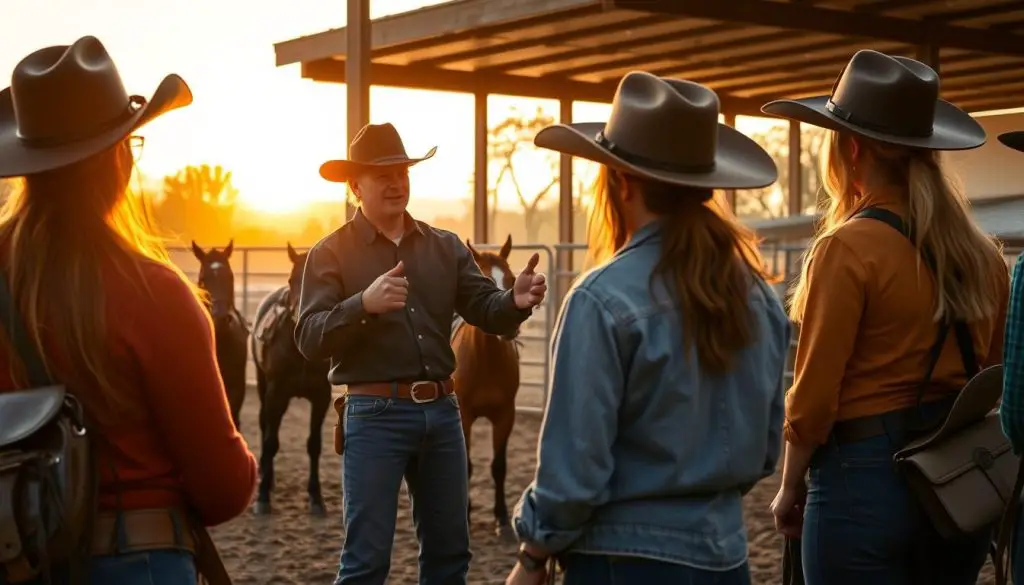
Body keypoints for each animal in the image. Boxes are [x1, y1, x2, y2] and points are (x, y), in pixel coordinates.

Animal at [249, 242, 329, 516]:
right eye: (292, 279)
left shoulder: (321, 397)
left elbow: (314, 445)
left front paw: (316, 498)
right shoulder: (276, 394)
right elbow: (271, 442)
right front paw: (262, 498)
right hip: (265, 388)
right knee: (265, 426)